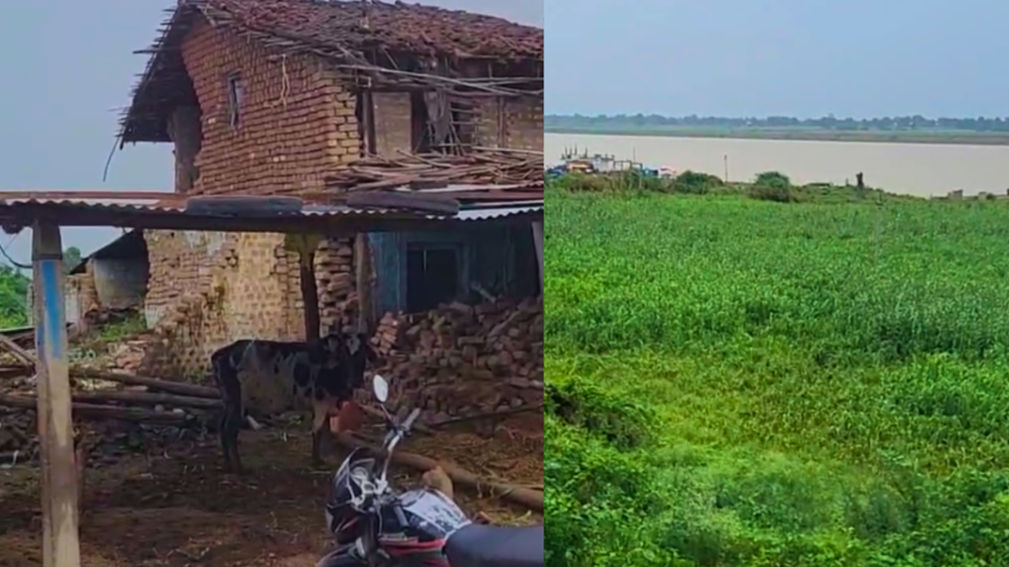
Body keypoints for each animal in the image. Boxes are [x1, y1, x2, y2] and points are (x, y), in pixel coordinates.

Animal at [210, 330, 377, 472]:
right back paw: (239, 468)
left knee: (222, 427)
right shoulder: (320, 401)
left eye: (362, 355)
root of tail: (221, 353)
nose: (356, 382)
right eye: (343, 354)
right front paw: (316, 461)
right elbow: (317, 430)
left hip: (229, 402)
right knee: (229, 430)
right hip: (238, 402)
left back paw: (228, 465)